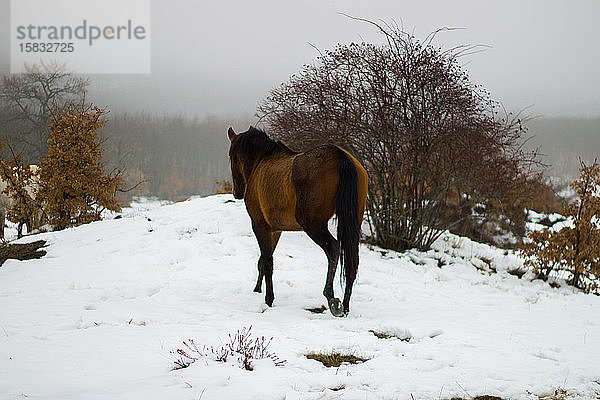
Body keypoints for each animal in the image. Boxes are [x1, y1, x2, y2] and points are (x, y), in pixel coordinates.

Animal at [227, 126, 368, 318]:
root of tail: (341, 157)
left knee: (333, 248)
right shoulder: (275, 229)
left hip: (313, 224)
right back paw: (345, 307)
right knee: (352, 260)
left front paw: (268, 299)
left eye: (231, 155)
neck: (261, 161)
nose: (237, 192)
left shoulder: (260, 225)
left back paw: (331, 298)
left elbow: (267, 261)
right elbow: (263, 261)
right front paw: (257, 290)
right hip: (352, 223)